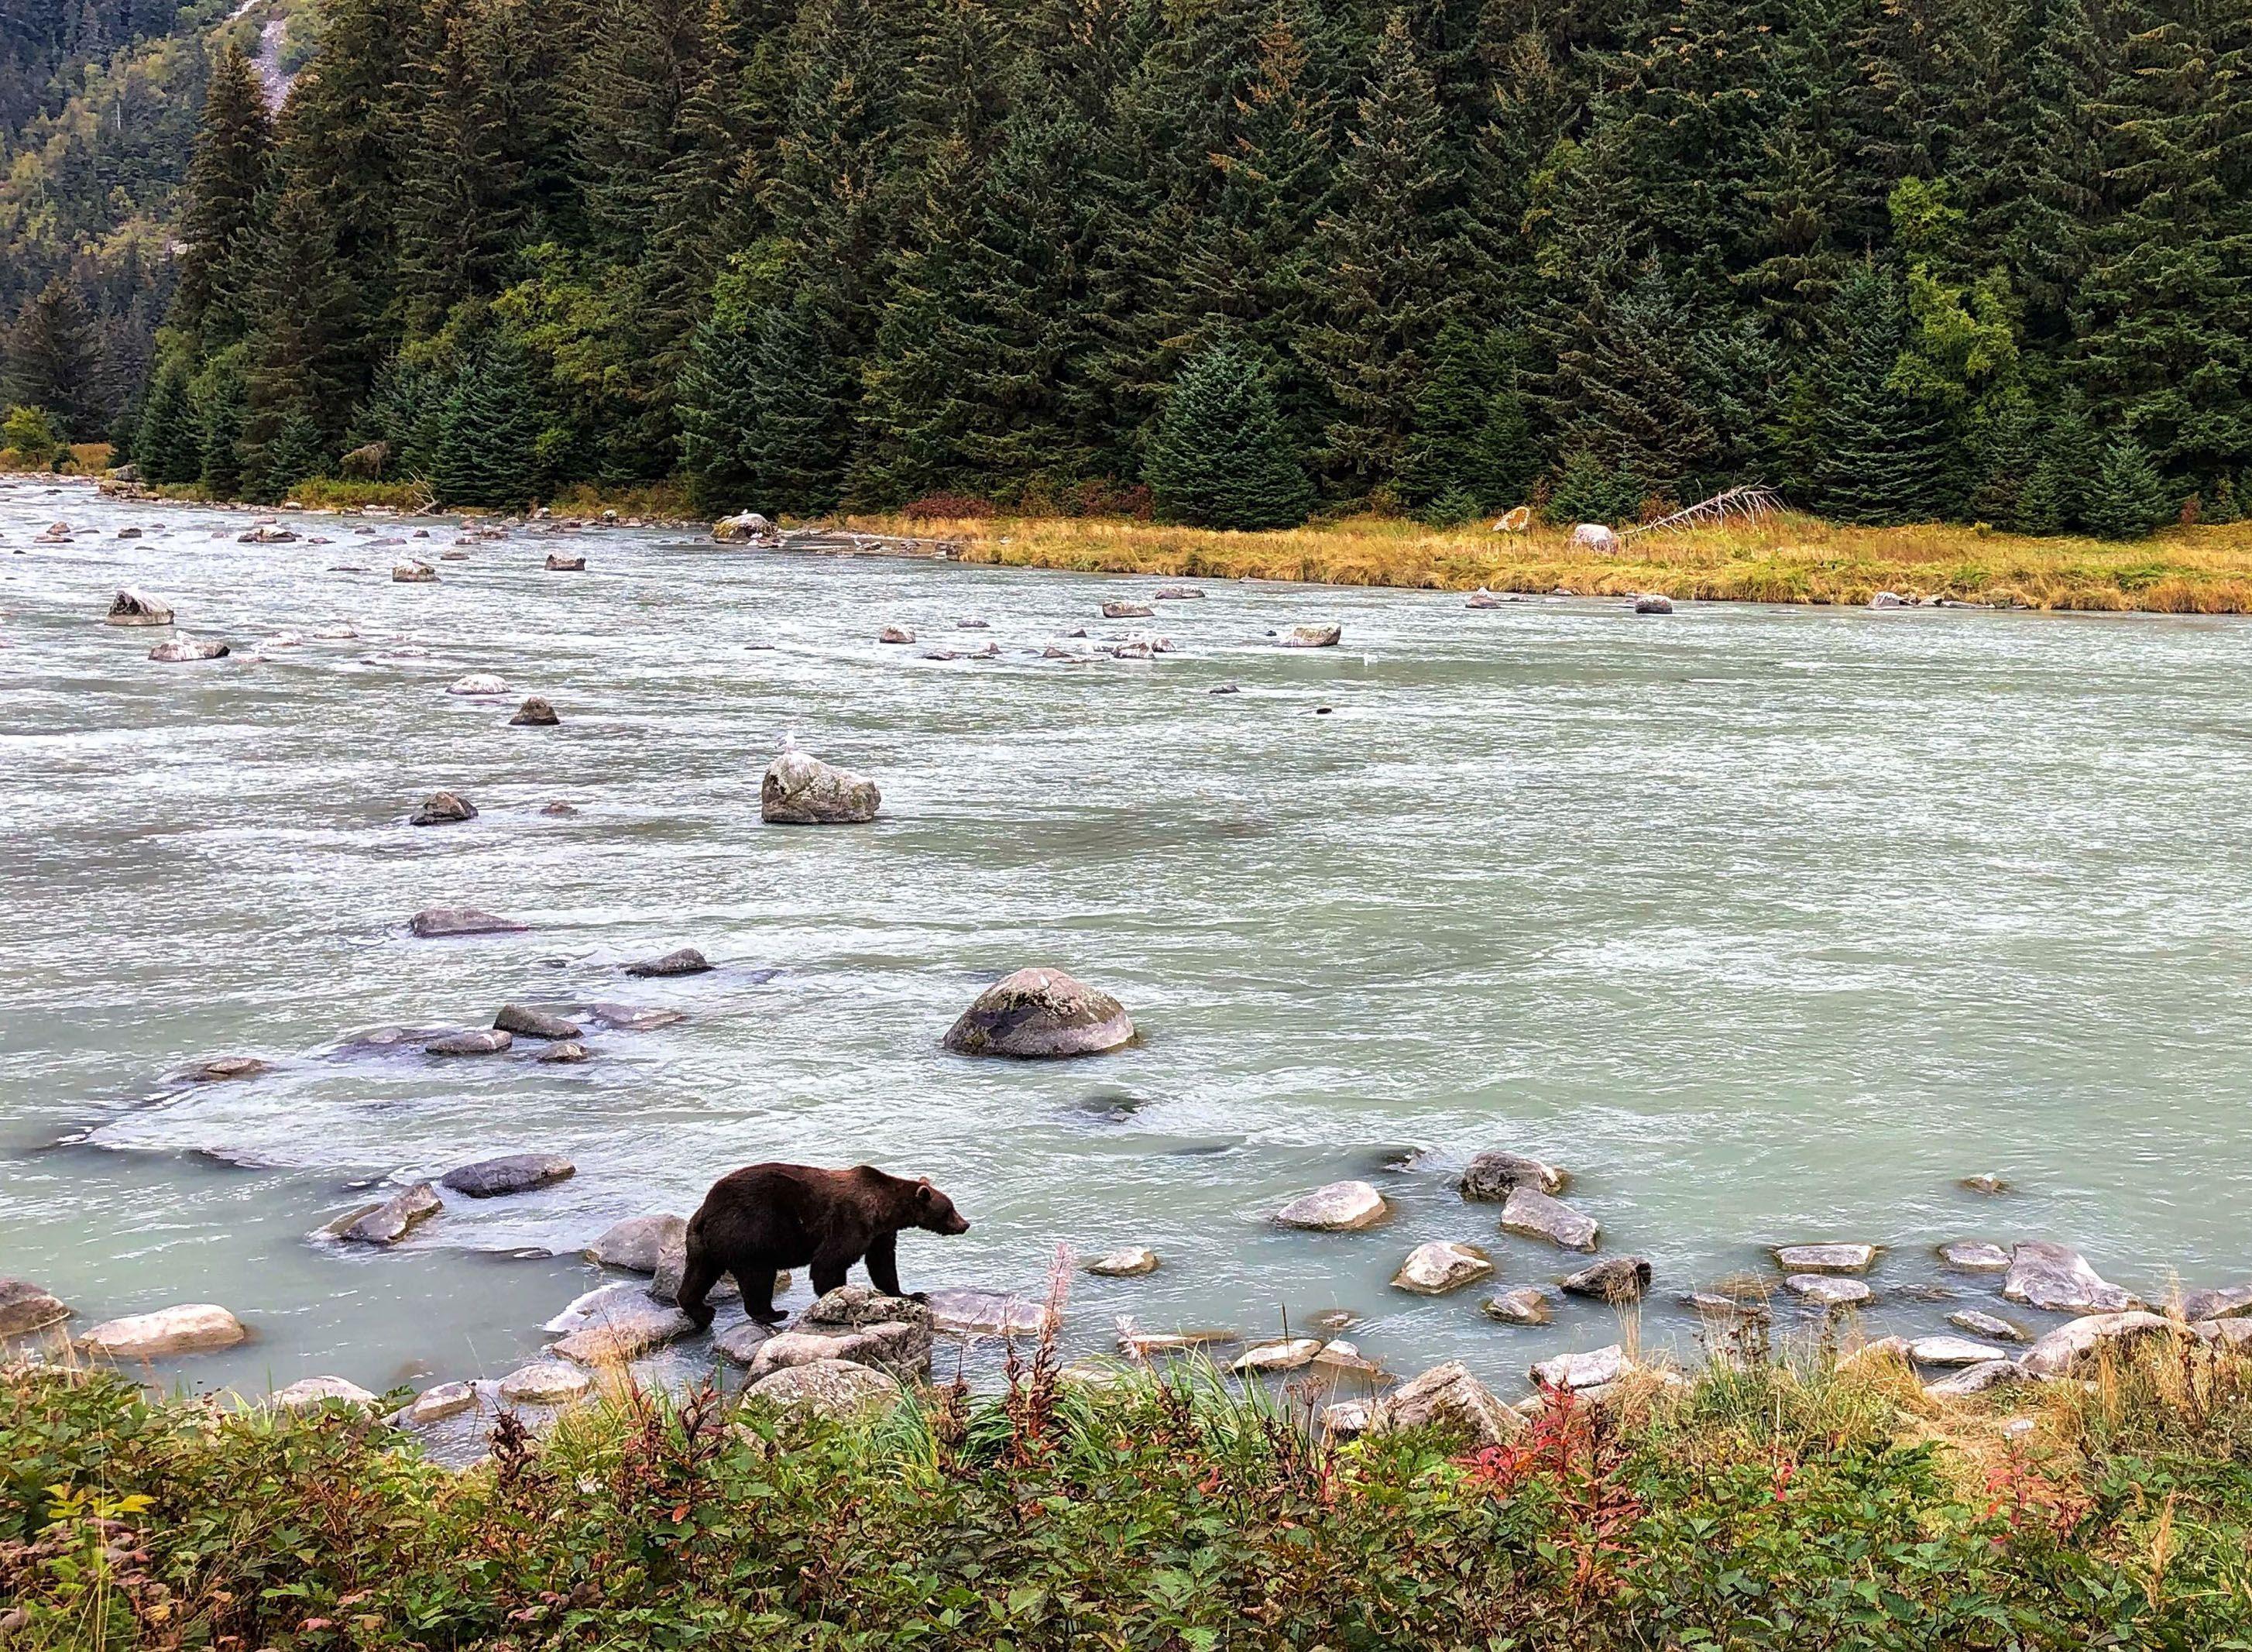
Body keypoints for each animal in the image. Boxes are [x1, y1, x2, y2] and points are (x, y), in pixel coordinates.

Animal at [675, 1162, 970, 1331]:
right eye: (950, 1209)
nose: (965, 1224)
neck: (884, 1209)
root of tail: (707, 1210)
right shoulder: (851, 1222)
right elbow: (829, 1262)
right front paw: (835, 1300)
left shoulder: (880, 1233)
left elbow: (883, 1264)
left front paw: (912, 1294)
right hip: (750, 1233)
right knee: (758, 1276)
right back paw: (773, 1313)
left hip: (701, 1242)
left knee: (698, 1275)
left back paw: (702, 1312)